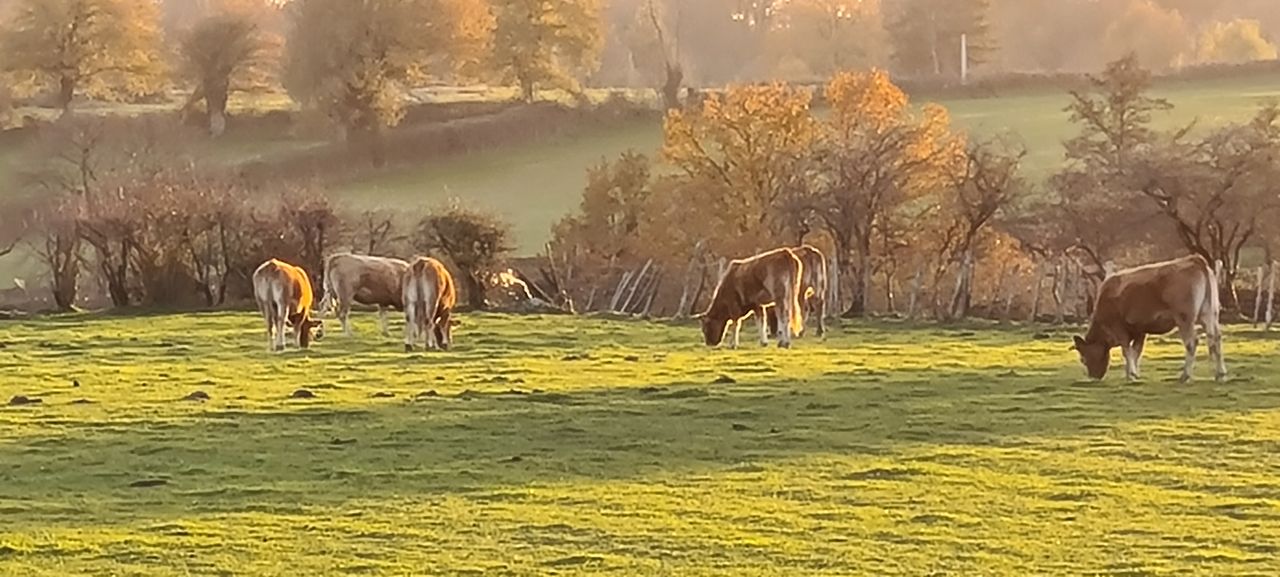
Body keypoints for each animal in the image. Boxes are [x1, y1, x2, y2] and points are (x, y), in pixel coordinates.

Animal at [1075, 254, 1223, 383]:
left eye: (1083, 359)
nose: (1093, 377)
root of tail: (1195, 259)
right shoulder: (1140, 330)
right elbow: (1136, 351)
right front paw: (1132, 374)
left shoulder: (1118, 327)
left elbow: (1126, 350)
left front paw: (1131, 374)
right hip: (1210, 314)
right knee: (1215, 338)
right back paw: (1220, 374)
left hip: (1185, 318)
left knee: (1191, 342)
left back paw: (1185, 376)